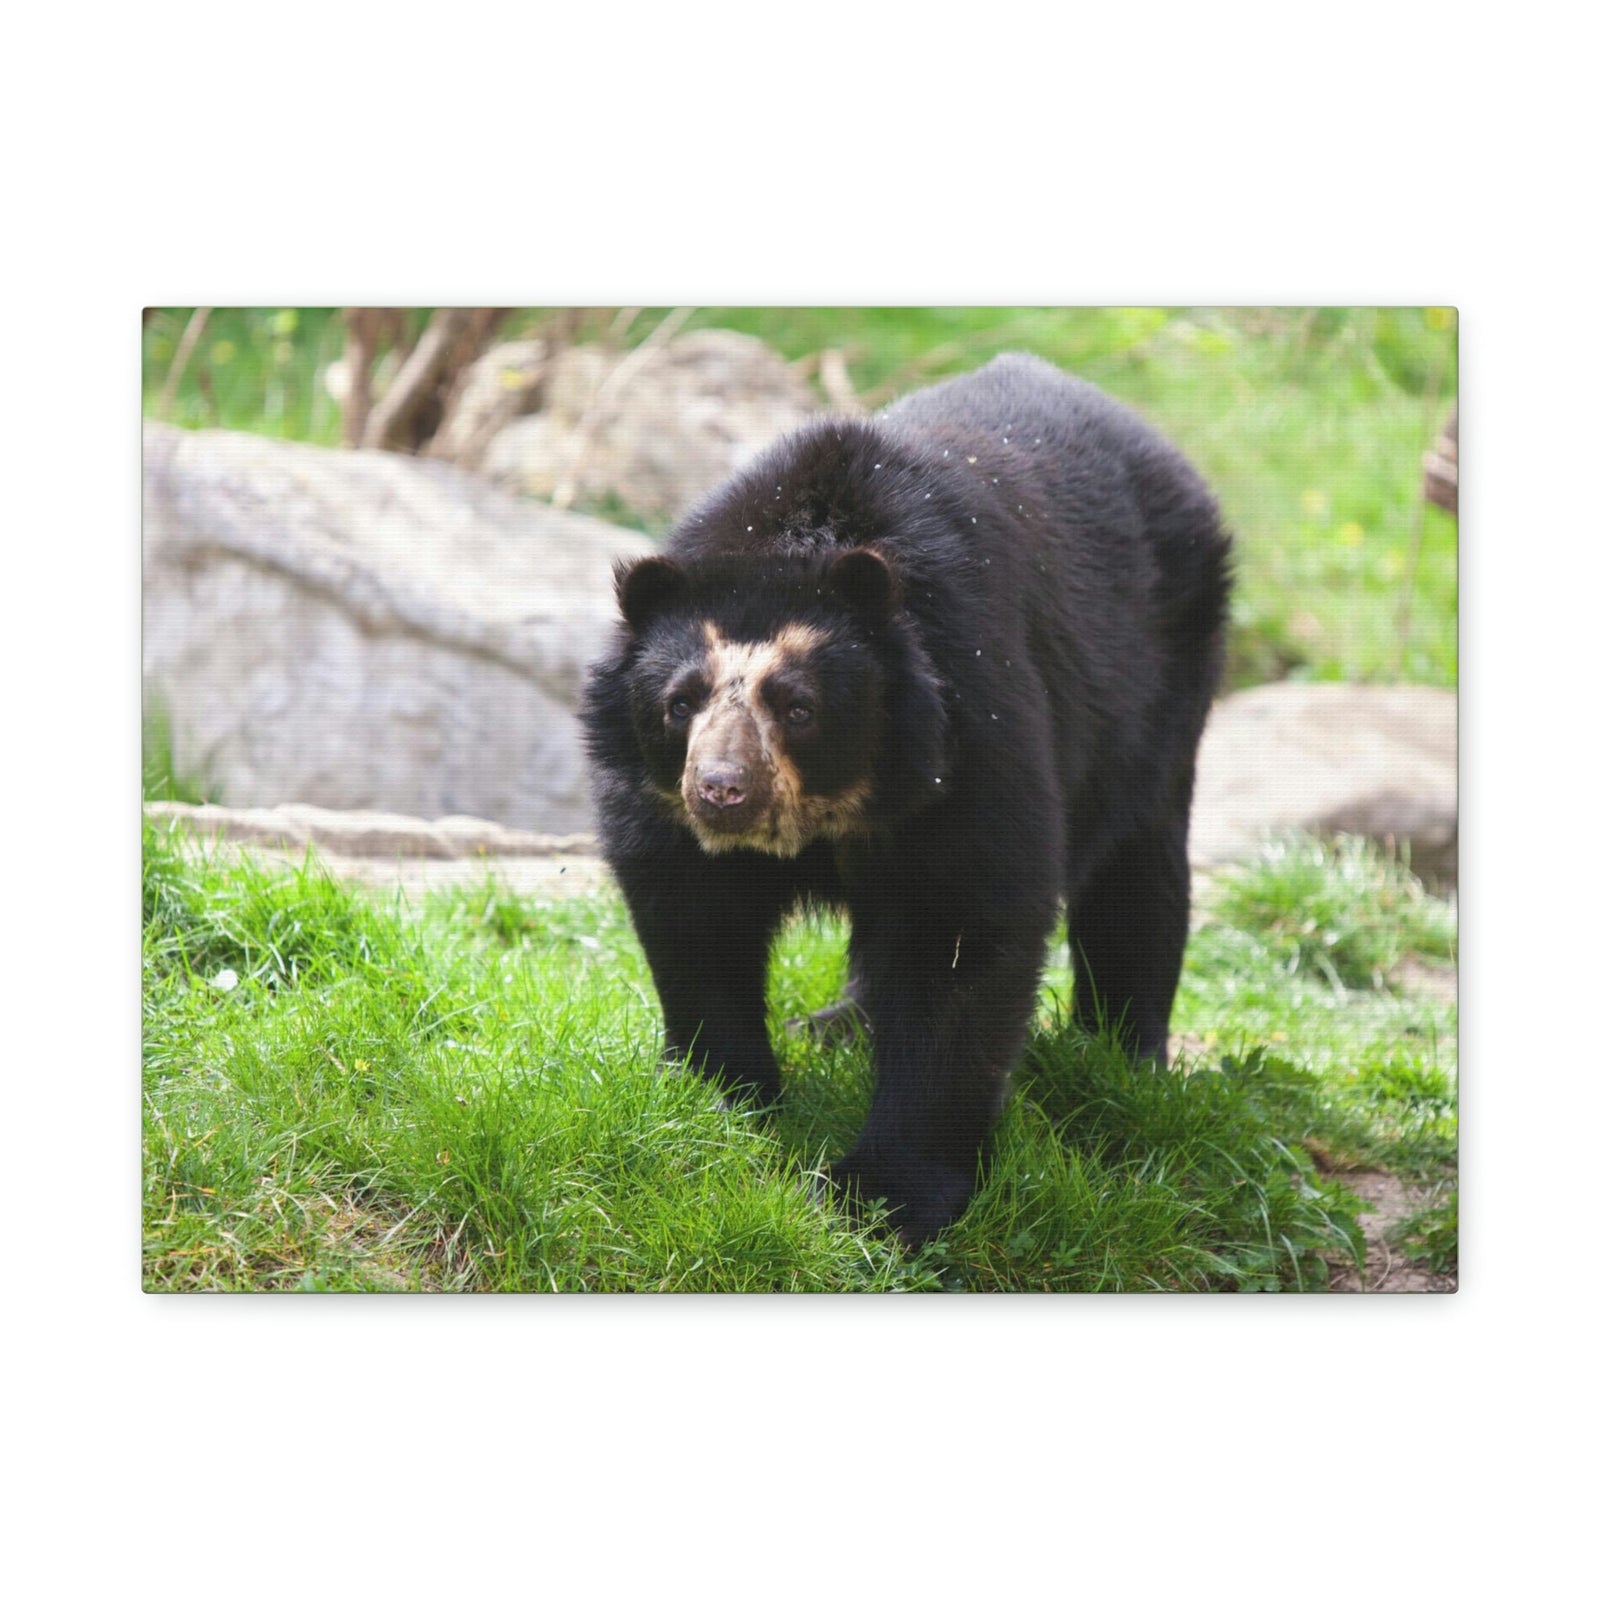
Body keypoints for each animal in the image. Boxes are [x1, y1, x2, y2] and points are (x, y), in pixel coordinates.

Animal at [581, 352, 1231, 1246]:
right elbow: (694, 915)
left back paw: (1123, 1058)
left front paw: (882, 1198)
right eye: (681, 702)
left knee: (1138, 871)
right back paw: (835, 1026)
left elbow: (962, 930)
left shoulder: (971, 733)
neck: (839, 805)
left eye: (798, 707)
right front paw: (721, 1098)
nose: (721, 791)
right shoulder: (661, 807)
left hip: (1162, 683)